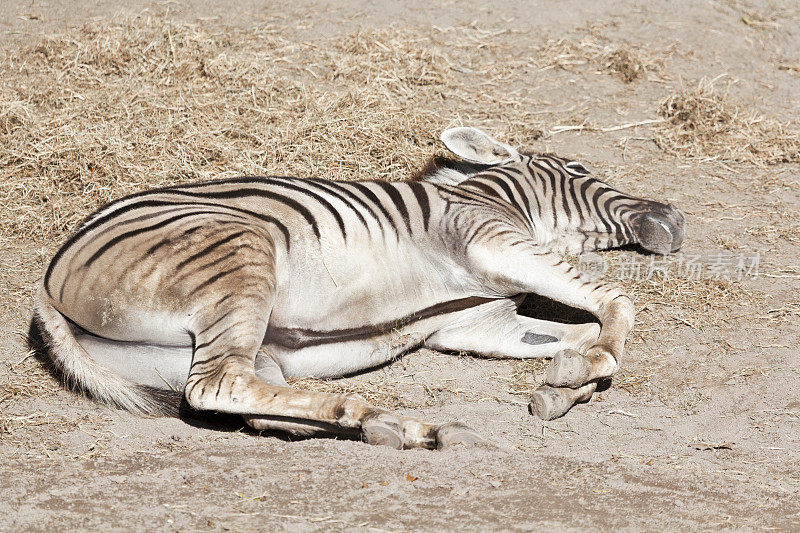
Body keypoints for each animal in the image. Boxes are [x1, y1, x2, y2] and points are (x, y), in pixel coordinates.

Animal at [34, 127, 684, 446]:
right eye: (578, 170)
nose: (674, 218)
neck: (496, 199)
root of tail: (48, 284)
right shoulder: (490, 242)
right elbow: (616, 306)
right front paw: (583, 373)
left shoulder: (477, 325)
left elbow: (574, 335)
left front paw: (570, 381)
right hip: (240, 258)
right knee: (217, 387)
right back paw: (368, 413)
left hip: (209, 353)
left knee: (246, 402)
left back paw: (398, 428)